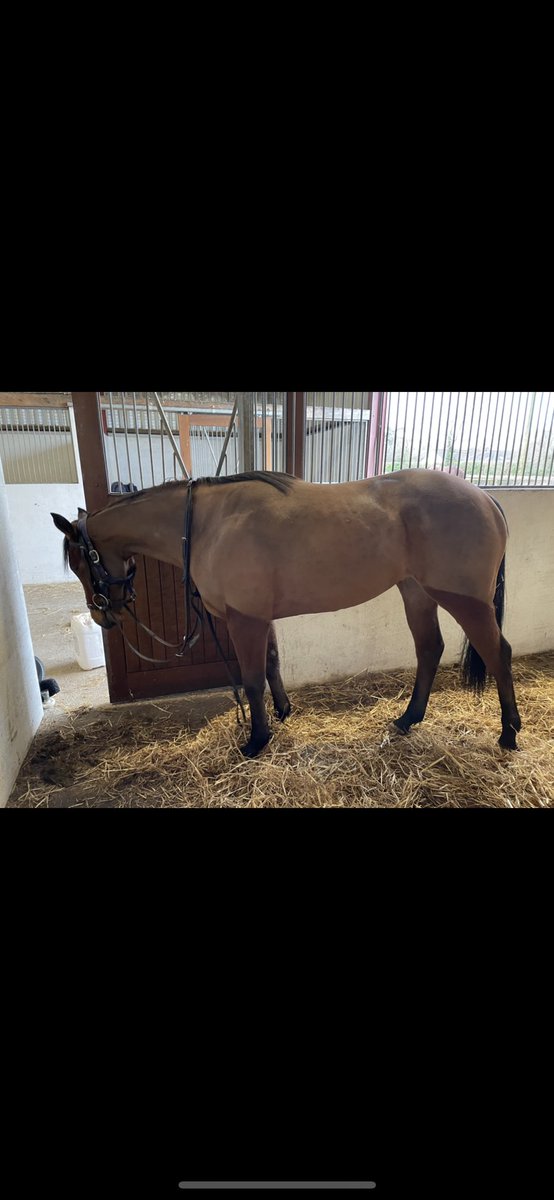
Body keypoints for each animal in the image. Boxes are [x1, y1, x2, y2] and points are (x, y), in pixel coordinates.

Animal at [52, 468, 522, 759]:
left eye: (80, 563)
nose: (104, 617)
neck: (208, 524)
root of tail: (484, 497)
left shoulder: (244, 619)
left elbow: (252, 679)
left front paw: (256, 740)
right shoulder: (259, 617)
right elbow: (273, 664)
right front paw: (282, 713)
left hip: (464, 601)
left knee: (498, 654)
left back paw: (509, 732)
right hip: (416, 592)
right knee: (429, 649)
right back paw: (408, 719)